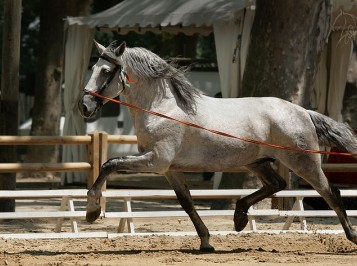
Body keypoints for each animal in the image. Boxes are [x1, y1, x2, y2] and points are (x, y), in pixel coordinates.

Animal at [78, 40, 356, 251]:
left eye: (106, 71)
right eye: (94, 67)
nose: (84, 107)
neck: (162, 108)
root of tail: (303, 112)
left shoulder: (156, 161)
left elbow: (109, 164)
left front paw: (92, 210)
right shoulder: (170, 169)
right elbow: (187, 204)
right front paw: (206, 242)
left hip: (303, 162)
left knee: (330, 192)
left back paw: (351, 237)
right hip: (257, 163)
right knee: (277, 184)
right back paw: (240, 216)